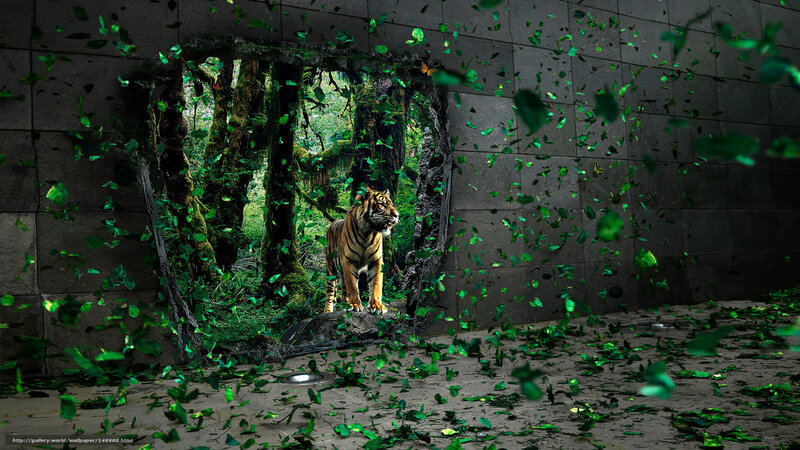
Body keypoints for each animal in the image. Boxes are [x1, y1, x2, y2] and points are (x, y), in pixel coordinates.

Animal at [323, 186, 399, 315]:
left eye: (391, 204)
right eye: (382, 204)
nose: (397, 215)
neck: (367, 232)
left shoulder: (376, 261)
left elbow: (376, 284)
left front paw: (377, 306)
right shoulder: (349, 260)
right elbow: (353, 286)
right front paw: (355, 305)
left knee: (344, 291)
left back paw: (344, 305)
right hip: (331, 270)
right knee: (330, 295)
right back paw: (328, 311)